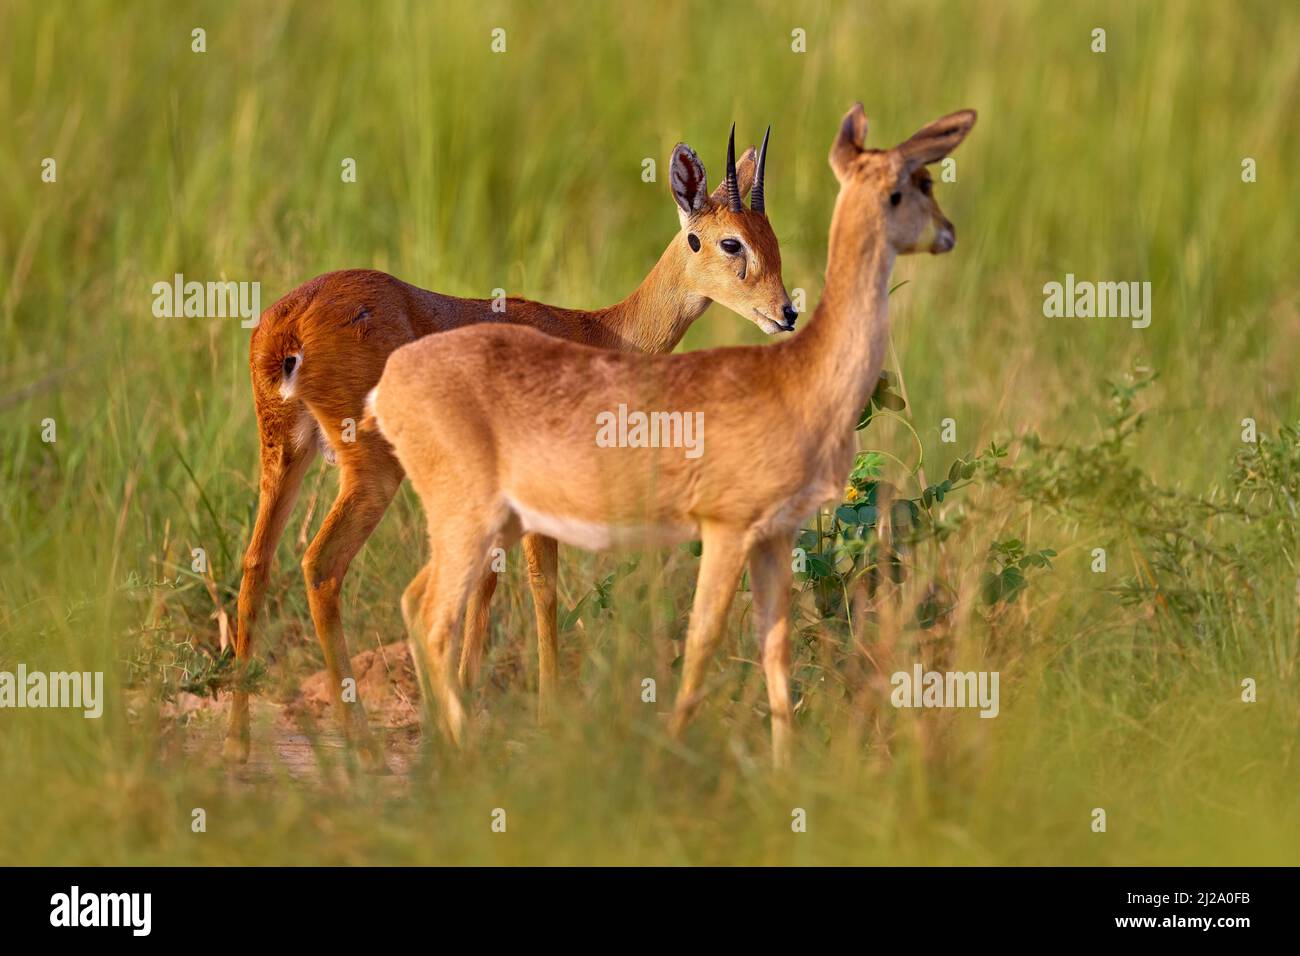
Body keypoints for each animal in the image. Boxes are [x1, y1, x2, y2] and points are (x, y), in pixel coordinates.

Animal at [228, 127, 790, 770]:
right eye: (729, 242)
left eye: (771, 238)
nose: (787, 312)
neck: (601, 333)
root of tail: (290, 324)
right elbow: (543, 588)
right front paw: (543, 718)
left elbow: (487, 587)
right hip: (371, 471)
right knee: (321, 565)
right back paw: (360, 743)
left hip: (285, 452)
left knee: (256, 562)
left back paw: (239, 742)